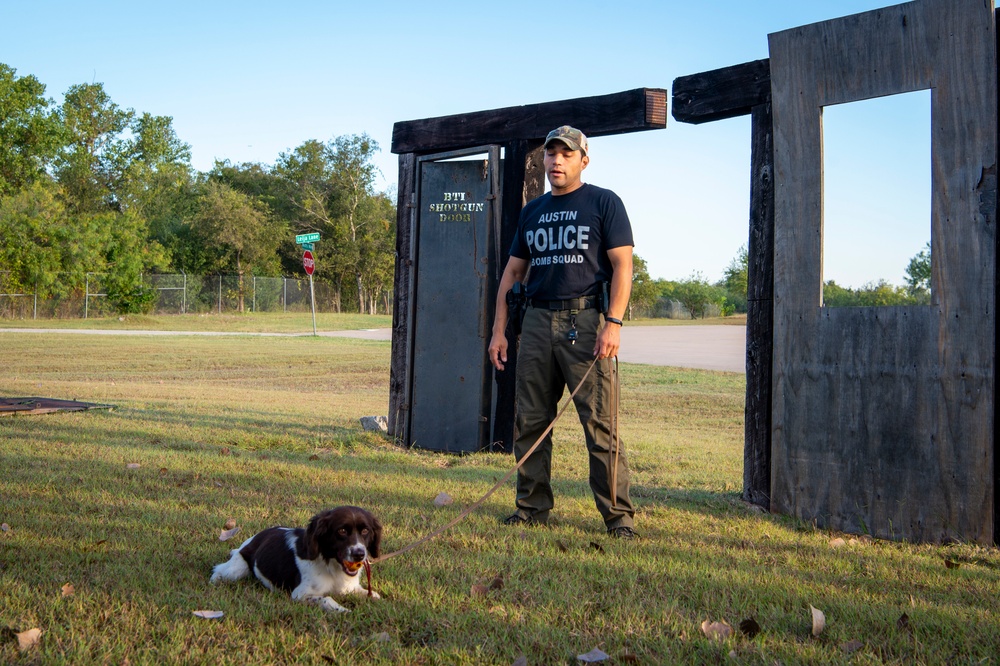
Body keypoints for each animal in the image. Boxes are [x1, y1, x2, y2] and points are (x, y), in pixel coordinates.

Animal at [209, 506, 380, 608]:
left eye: (365, 531)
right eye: (342, 531)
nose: (359, 554)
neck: (330, 566)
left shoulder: (351, 588)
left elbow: (371, 594)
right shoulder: (300, 594)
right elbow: (327, 598)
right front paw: (343, 610)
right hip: (237, 569)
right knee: (220, 570)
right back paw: (216, 579)